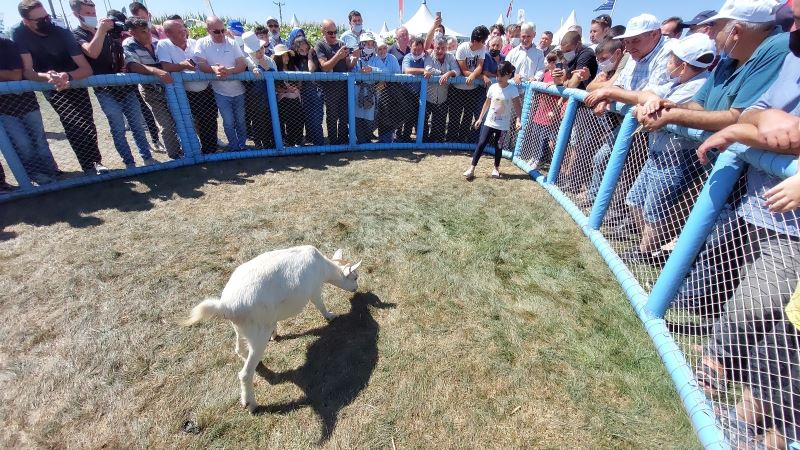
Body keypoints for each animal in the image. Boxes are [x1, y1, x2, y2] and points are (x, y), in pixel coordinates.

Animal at [183, 246, 360, 412]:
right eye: (355, 277)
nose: (356, 288)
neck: (323, 267)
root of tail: (226, 306)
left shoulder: (272, 315)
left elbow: (274, 324)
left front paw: (275, 334)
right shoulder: (314, 290)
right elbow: (320, 305)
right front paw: (331, 316)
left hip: (243, 328)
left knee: (239, 348)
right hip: (258, 333)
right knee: (245, 373)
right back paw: (251, 404)